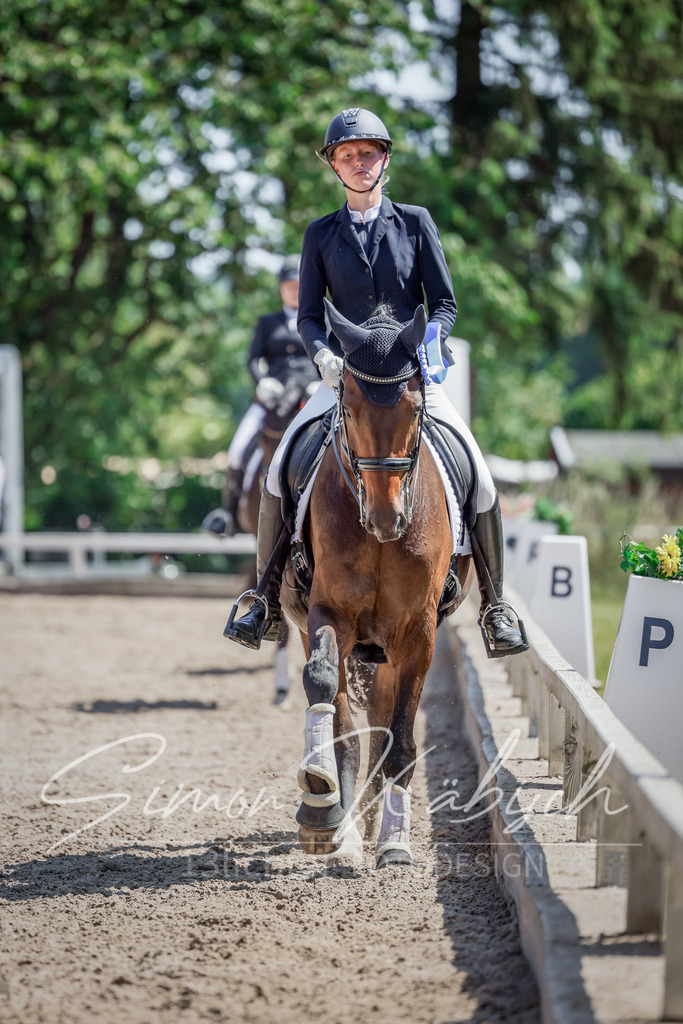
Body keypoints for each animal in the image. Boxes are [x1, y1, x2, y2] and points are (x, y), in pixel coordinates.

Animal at [279, 300, 476, 867]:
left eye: (414, 408)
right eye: (348, 405)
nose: (388, 518)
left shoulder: (418, 633)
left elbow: (403, 740)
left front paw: (394, 843)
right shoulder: (329, 615)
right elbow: (328, 696)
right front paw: (322, 809)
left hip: (391, 647)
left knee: (388, 727)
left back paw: (374, 824)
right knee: (351, 723)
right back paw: (346, 826)